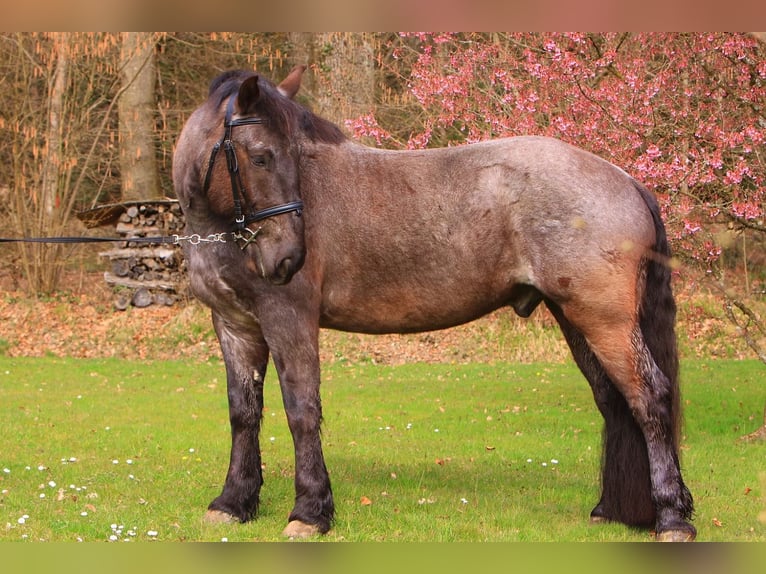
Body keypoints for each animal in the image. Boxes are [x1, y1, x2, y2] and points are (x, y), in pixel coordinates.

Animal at [172, 65, 696, 541]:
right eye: (262, 158)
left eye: (293, 158)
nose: (288, 259)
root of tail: (627, 181)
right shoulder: (235, 325)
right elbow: (243, 412)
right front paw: (233, 503)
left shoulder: (290, 321)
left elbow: (302, 410)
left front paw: (309, 512)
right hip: (575, 318)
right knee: (613, 401)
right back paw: (611, 510)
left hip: (605, 320)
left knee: (649, 399)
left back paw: (673, 520)